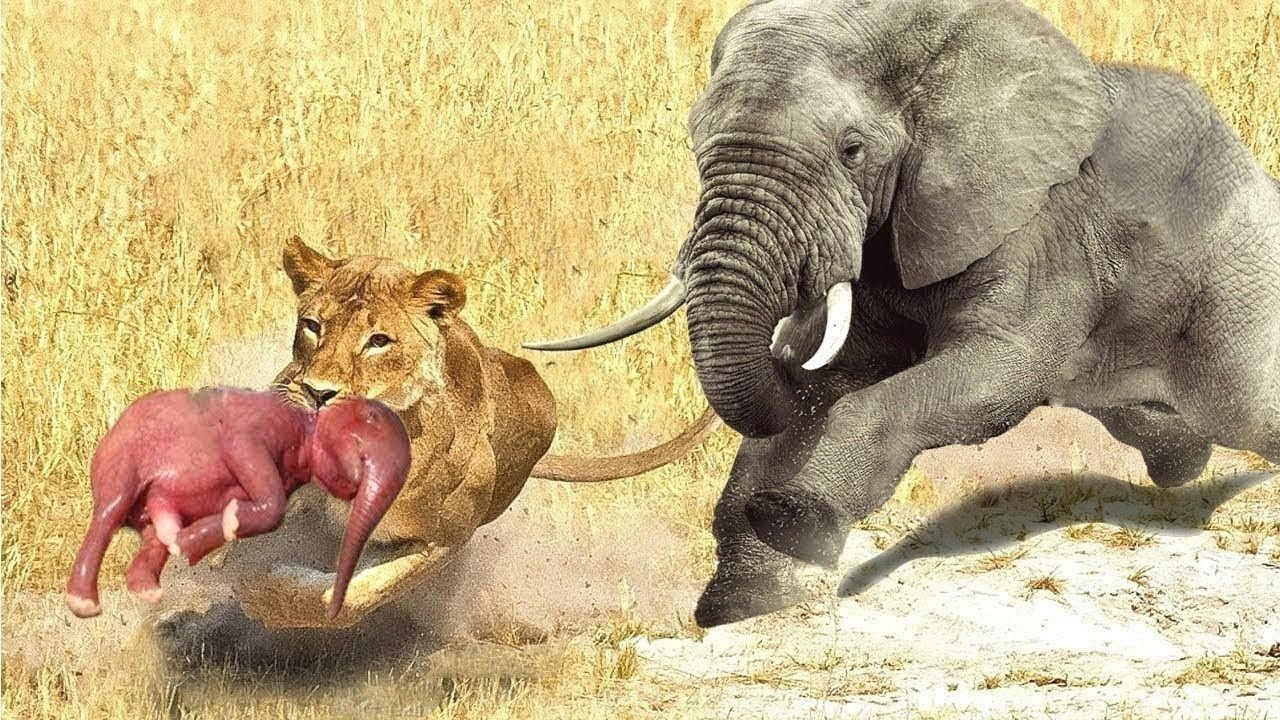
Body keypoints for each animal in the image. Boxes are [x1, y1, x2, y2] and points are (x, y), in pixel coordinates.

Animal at [232, 237, 718, 627]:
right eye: (313, 326)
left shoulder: (438, 540)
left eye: (378, 341)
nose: (317, 393)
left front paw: (262, 588)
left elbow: (352, 595)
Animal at [527, 0, 1280, 627]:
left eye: (852, 150)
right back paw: (1179, 461)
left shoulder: (1038, 224)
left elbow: (995, 374)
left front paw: (788, 519)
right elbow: (828, 382)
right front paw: (738, 606)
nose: (784, 334)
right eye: (693, 143)